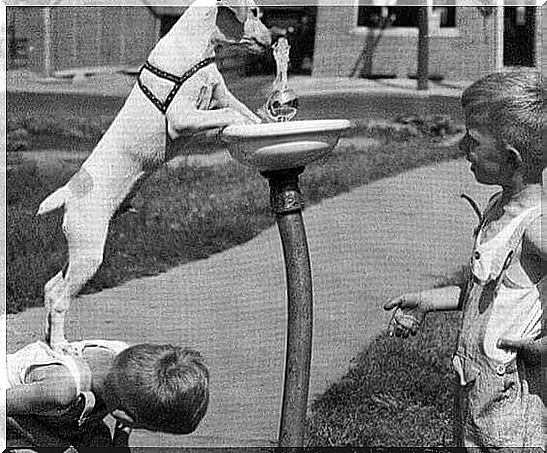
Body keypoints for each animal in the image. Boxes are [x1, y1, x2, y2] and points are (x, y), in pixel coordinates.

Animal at [36, 0, 272, 354]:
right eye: (255, 12)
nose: (273, 40)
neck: (194, 48)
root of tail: (69, 191)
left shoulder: (221, 94)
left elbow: (243, 110)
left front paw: (264, 124)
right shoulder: (182, 119)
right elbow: (228, 115)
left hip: (78, 252)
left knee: (52, 288)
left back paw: (51, 340)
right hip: (89, 252)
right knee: (62, 298)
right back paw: (62, 345)